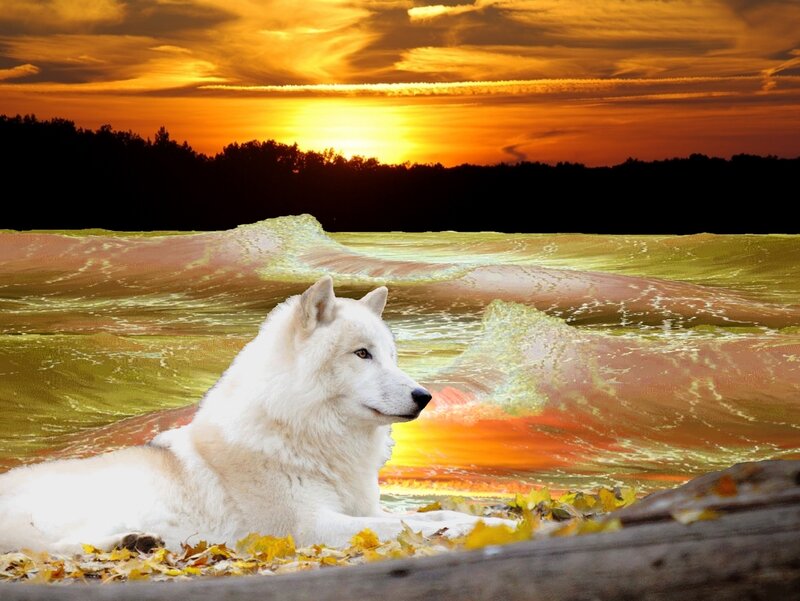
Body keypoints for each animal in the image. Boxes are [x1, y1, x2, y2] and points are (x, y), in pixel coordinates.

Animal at [0, 276, 512, 553]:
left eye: (390, 355)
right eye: (362, 354)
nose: (424, 397)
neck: (306, 435)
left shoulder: (361, 508)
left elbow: (431, 514)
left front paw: (488, 522)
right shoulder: (307, 527)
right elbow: (404, 526)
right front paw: (488, 527)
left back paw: (135, 542)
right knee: (46, 550)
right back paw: (130, 543)